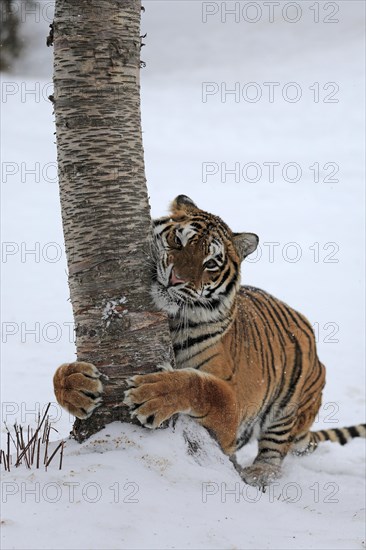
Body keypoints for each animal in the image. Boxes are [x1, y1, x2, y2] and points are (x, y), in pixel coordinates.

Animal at [54, 196, 366, 490]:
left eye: (211, 263)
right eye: (177, 241)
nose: (176, 279)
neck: (171, 322)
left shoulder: (231, 416)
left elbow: (203, 386)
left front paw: (153, 393)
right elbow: (60, 374)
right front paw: (75, 384)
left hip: (291, 403)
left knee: (275, 452)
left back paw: (256, 475)